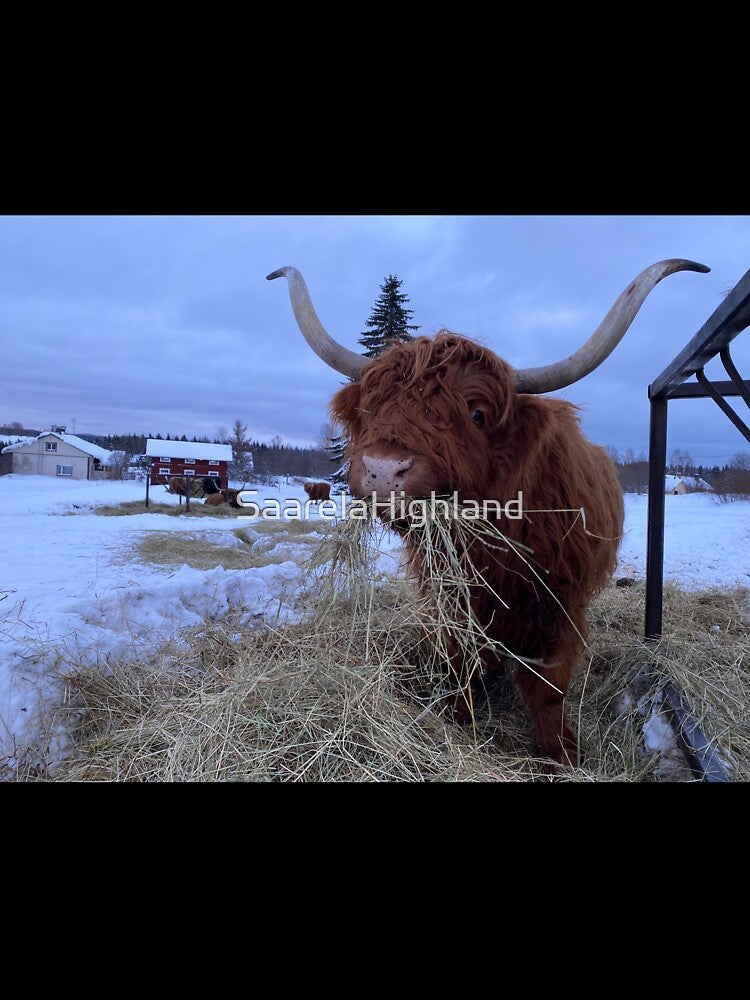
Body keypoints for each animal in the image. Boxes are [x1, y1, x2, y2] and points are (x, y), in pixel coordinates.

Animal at [267, 260, 709, 766]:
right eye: (371, 407)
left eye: (476, 414)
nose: (382, 469)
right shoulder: (452, 597)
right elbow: (460, 661)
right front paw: (457, 719)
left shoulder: (562, 605)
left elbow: (549, 687)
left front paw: (559, 753)